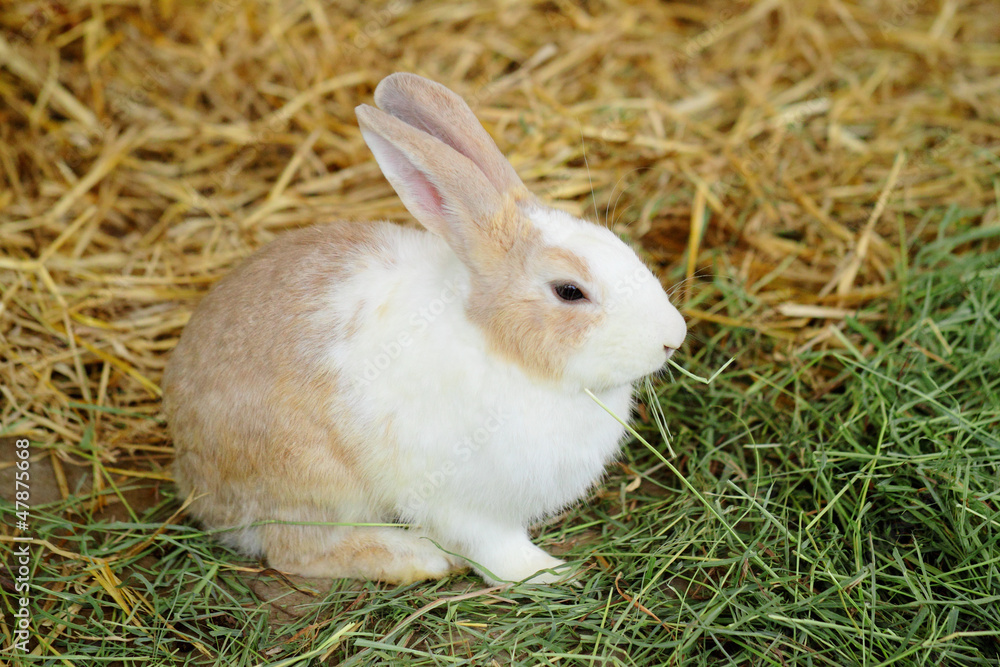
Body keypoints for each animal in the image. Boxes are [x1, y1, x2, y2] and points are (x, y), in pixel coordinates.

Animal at [163, 72, 687, 585]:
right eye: (570, 291)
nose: (673, 338)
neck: (501, 347)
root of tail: (196, 482)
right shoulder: (466, 503)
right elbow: (496, 549)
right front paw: (548, 574)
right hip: (314, 481)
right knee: (295, 551)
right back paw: (417, 559)